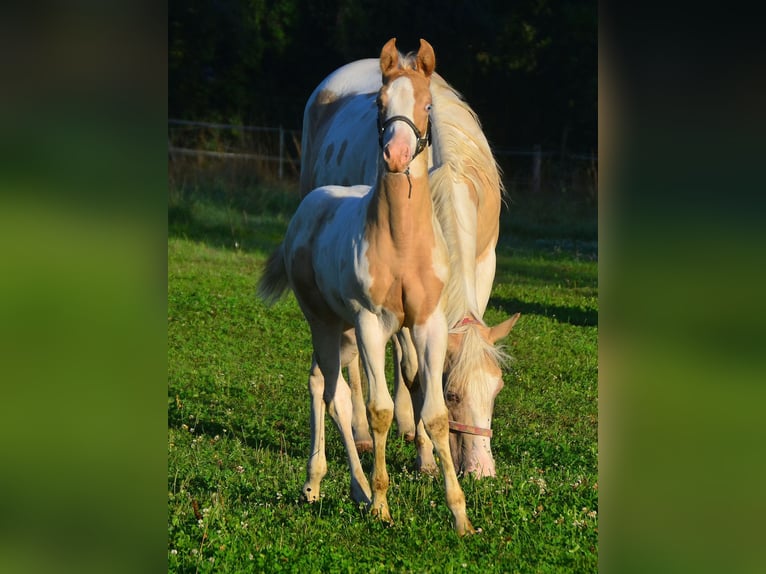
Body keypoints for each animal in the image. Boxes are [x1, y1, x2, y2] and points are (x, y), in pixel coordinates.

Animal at [258, 38, 474, 535]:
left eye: (427, 105)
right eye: (379, 103)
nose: (396, 155)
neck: (402, 244)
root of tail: (310, 206)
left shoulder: (428, 323)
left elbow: (434, 415)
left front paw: (460, 515)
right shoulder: (372, 322)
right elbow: (379, 411)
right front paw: (381, 505)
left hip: (341, 328)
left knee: (324, 382)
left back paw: (332, 485)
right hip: (324, 322)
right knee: (332, 392)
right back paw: (339, 487)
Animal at [299, 41, 520, 478]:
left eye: (497, 390)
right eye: (451, 395)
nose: (481, 470)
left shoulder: (482, 265)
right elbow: (414, 370)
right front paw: (426, 454)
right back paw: (364, 431)